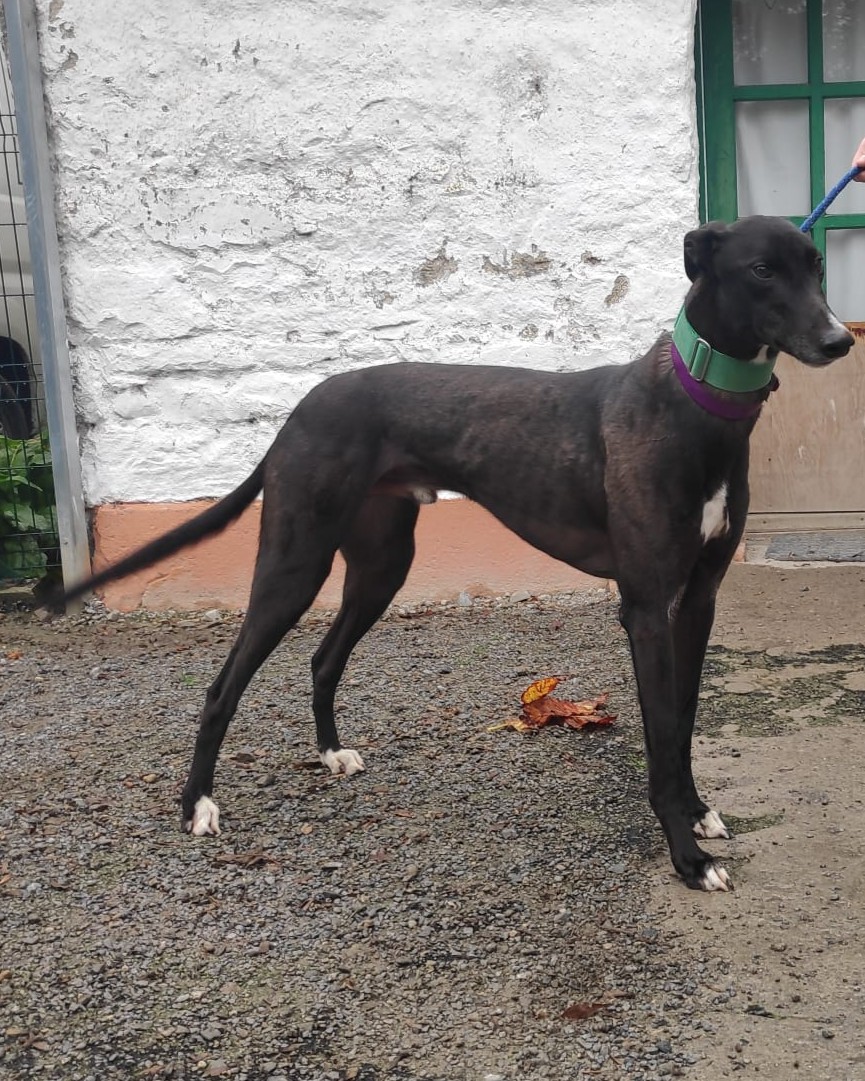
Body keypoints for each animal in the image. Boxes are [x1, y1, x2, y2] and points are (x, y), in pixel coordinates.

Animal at [59, 215, 853, 891]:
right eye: (761, 270)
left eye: (816, 266)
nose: (839, 341)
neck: (691, 404)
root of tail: (301, 408)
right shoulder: (646, 607)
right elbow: (659, 736)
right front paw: (687, 858)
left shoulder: (697, 601)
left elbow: (681, 723)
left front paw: (697, 814)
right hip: (294, 563)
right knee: (223, 685)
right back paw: (196, 805)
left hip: (380, 564)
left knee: (323, 657)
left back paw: (330, 753)